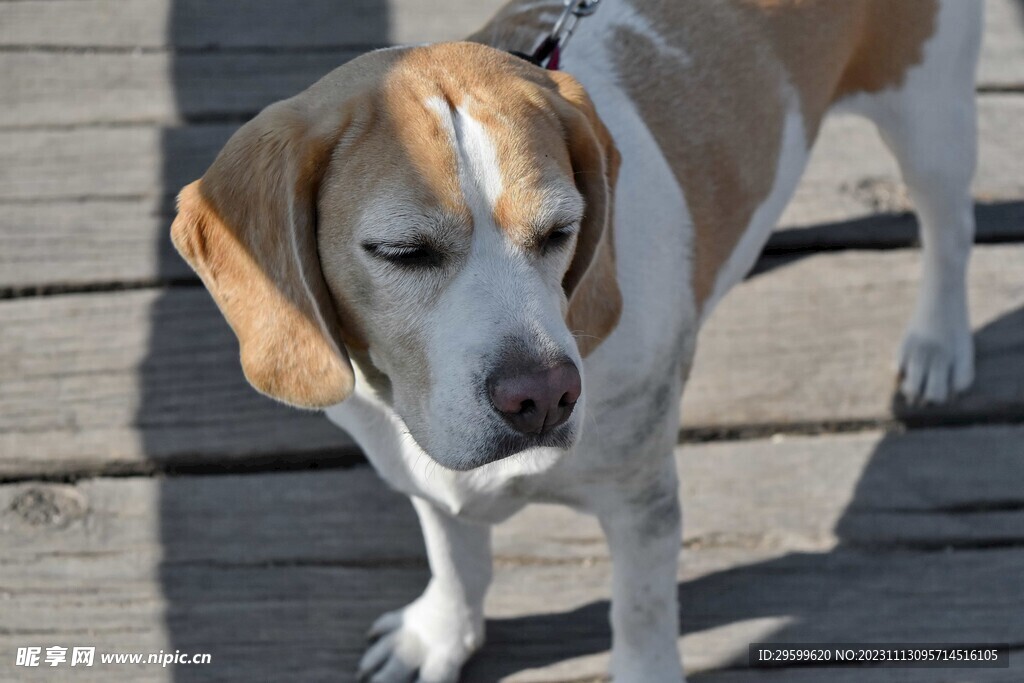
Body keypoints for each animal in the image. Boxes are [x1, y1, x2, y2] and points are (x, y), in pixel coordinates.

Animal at [169, 1, 983, 679]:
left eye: (560, 230)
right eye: (402, 252)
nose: (544, 396)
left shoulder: (642, 504)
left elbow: (641, 619)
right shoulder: (425, 476)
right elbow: (457, 558)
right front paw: (440, 636)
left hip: (931, 116)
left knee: (949, 228)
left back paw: (938, 343)